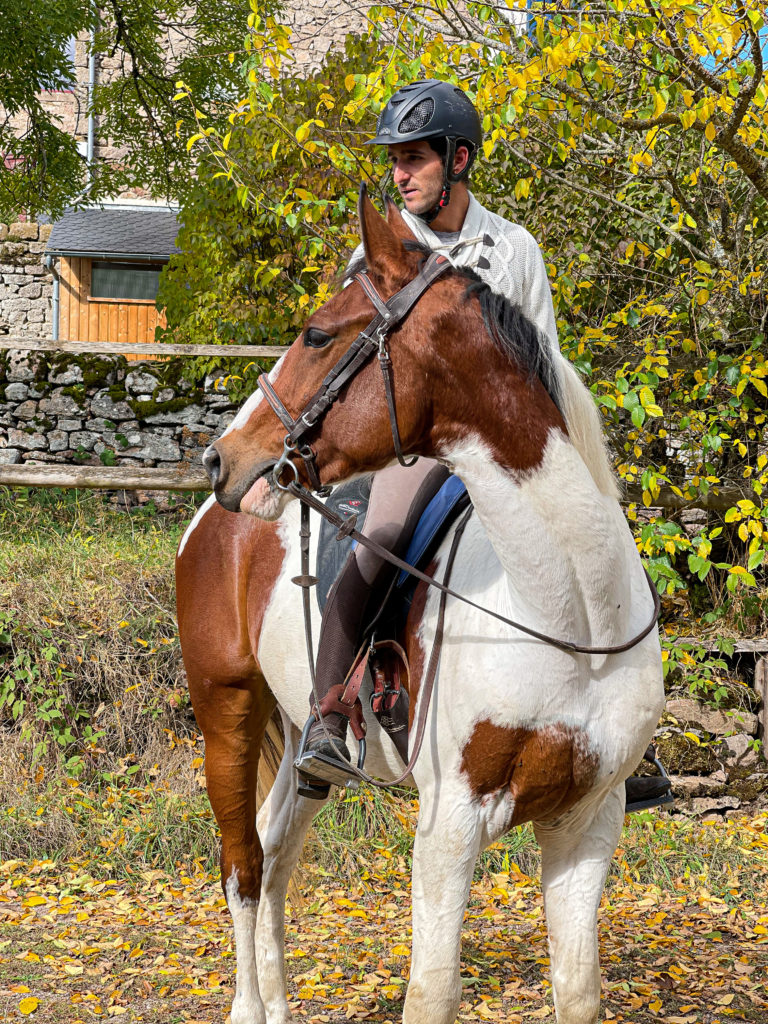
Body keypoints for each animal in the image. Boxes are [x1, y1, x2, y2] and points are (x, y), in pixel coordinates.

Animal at [175, 190, 664, 1024]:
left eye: (317, 333)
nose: (223, 458)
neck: (571, 614)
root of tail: (212, 523)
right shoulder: (451, 826)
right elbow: (432, 991)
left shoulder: (587, 822)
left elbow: (577, 991)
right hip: (226, 717)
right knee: (242, 866)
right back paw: (248, 1004)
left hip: (302, 741)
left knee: (275, 854)